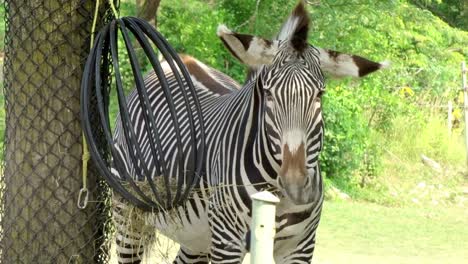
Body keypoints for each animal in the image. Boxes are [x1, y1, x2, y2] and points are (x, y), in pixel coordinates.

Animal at [112, 1, 388, 262]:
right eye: (268, 94)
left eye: (320, 95)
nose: (296, 184)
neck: (279, 199)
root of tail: (175, 62)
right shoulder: (228, 243)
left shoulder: (300, 247)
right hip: (127, 214)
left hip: (195, 239)